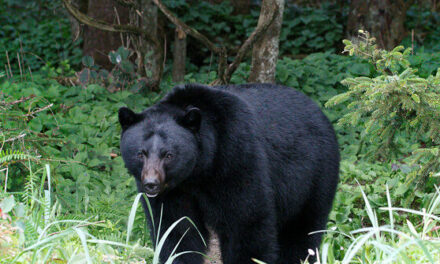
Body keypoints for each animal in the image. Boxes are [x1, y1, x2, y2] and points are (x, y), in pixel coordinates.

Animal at [118, 83, 338, 264]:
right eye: (140, 153)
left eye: (169, 155)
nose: (151, 184)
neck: (197, 172)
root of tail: (319, 110)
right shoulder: (175, 192)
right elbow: (176, 229)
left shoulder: (235, 156)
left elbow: (246, 221)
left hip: (314, 173)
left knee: (302, 229)